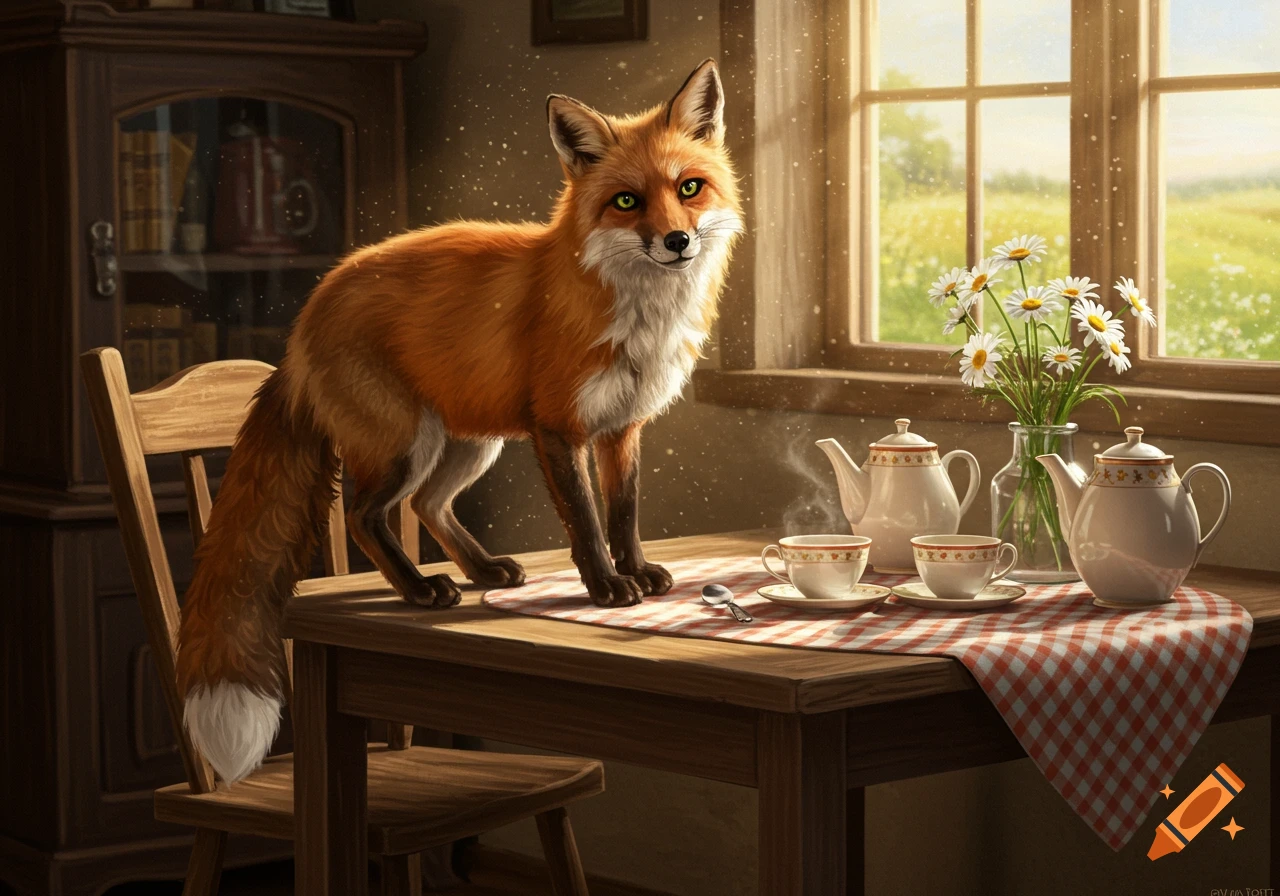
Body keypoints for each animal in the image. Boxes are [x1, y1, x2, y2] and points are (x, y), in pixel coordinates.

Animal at [175, 59, 743, 784]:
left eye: (689, 188)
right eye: (626, 201)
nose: (677, 241)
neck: (635, 311)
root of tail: (306, 316)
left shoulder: (621, 429)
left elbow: (625, 512)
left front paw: (638, 570)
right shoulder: (558, 427)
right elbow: (587, 521)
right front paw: (606, 587)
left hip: (473, 443)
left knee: (427, 505)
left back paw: (482, 571)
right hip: (406, 443)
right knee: (366, 514)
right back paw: (420, 590)